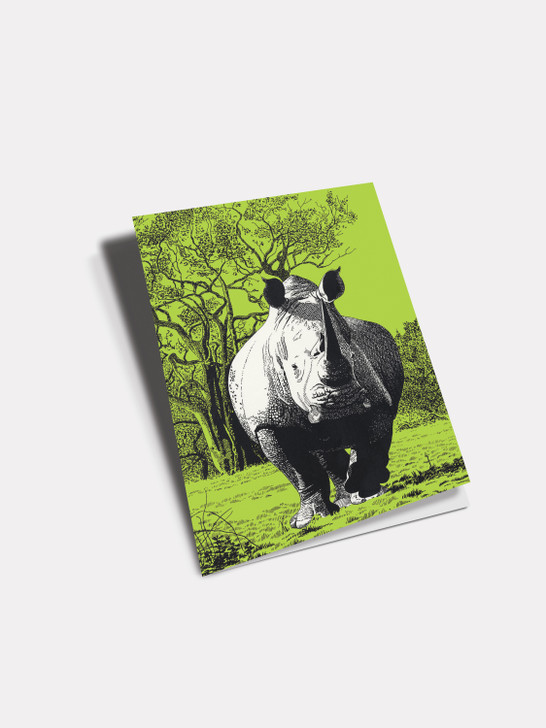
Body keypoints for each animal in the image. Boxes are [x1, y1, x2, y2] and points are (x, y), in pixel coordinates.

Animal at [228, 270, 404, 528]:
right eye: (293, 368)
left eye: (353, 357)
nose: (342, 403)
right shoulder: (267, 421)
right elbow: (297, 468)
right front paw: (306, 521)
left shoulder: (376, 397)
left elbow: (373, 439)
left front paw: (367, 493)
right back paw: (341, 503)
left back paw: (349, 498)